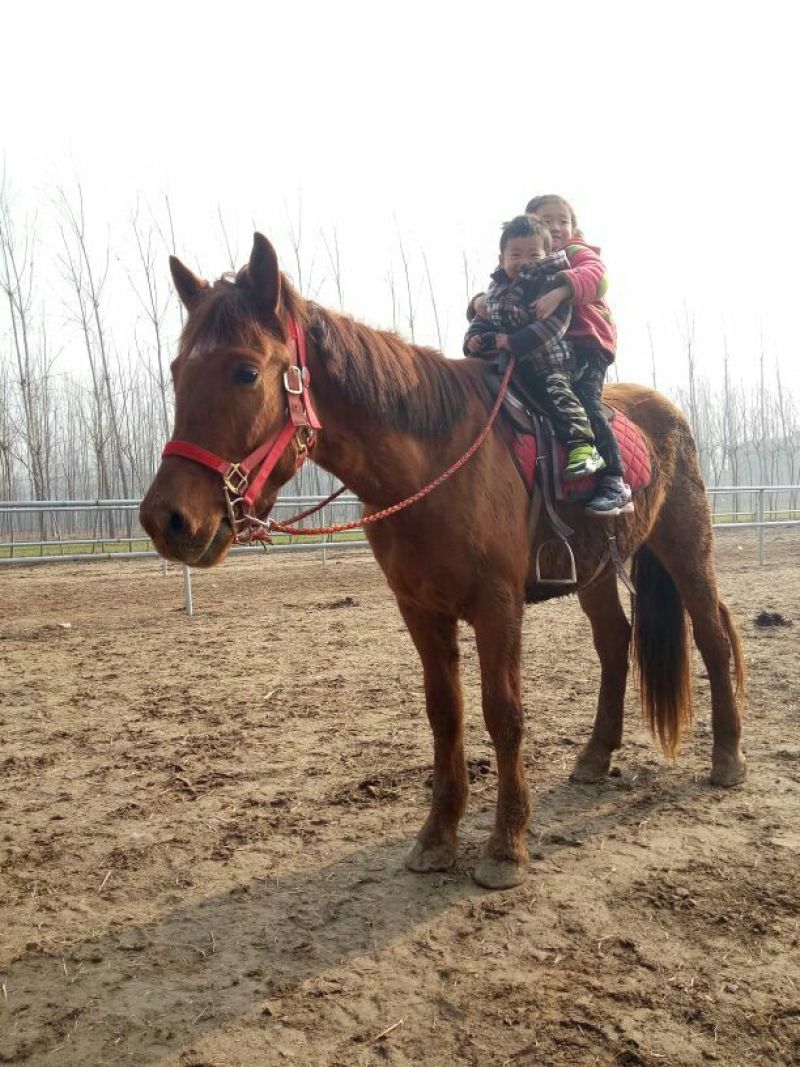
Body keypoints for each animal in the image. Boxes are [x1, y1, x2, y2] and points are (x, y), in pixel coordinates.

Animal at [140, 233, 746, 890]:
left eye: (246, 371)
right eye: (176, 372)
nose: (167, 520)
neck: (434, 462)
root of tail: (666, 411)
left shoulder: (498, 607)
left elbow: (503, 714)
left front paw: (506, 845)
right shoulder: (421, 610)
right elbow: (444, 715)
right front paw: (438, 837)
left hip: (686, 547)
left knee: (712, 635)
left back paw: (728, 758)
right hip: (595, 570)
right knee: (615, 641)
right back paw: (594, 757)